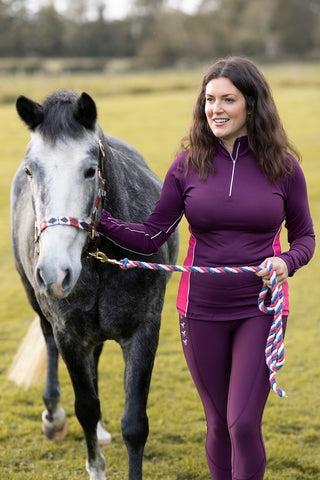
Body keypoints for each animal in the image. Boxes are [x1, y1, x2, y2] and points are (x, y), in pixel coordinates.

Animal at [11, 91, 179, 480]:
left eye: (89, 170)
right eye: (31, 171)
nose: (55, 272)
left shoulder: (144, 332)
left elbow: (135, 424)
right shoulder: (69, 335)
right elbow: (85, 407)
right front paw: (95, 466)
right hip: (37, 302)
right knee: (49, 343)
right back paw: (53, 417)